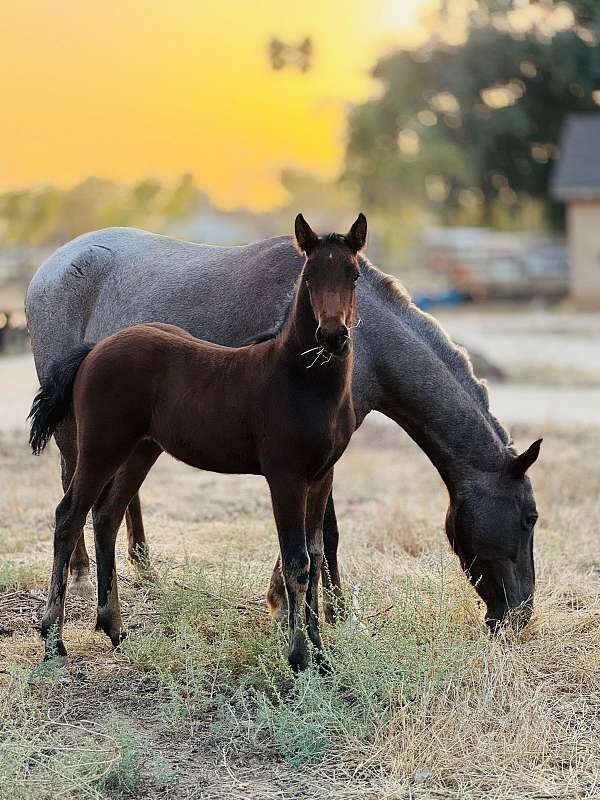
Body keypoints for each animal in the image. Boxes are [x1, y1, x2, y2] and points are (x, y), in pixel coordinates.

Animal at [27, 225, 544, 632]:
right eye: (530, 518)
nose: (520, 615)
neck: (365, 340)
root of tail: (50, 266)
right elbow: (319, 536)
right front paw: (306, 608)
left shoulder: (321, 454)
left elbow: (316, 536)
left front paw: (318, 610)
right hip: (78, 426)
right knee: (73, 483)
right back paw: (80, 574)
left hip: (136, 436)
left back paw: (142, 565)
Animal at [30, 212, 368, 668]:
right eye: (309, 275)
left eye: (353, 274)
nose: (333, 335)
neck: (298, 379)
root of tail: (95, 348)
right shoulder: (286, 476)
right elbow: (296, 561)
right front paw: (298, 657)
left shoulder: (321, 476)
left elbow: (314, 559)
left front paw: (320, 654)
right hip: (101, 447)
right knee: (68, 516)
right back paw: (54, 640)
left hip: (140, 449)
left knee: (106, 516)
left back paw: (115, 628)